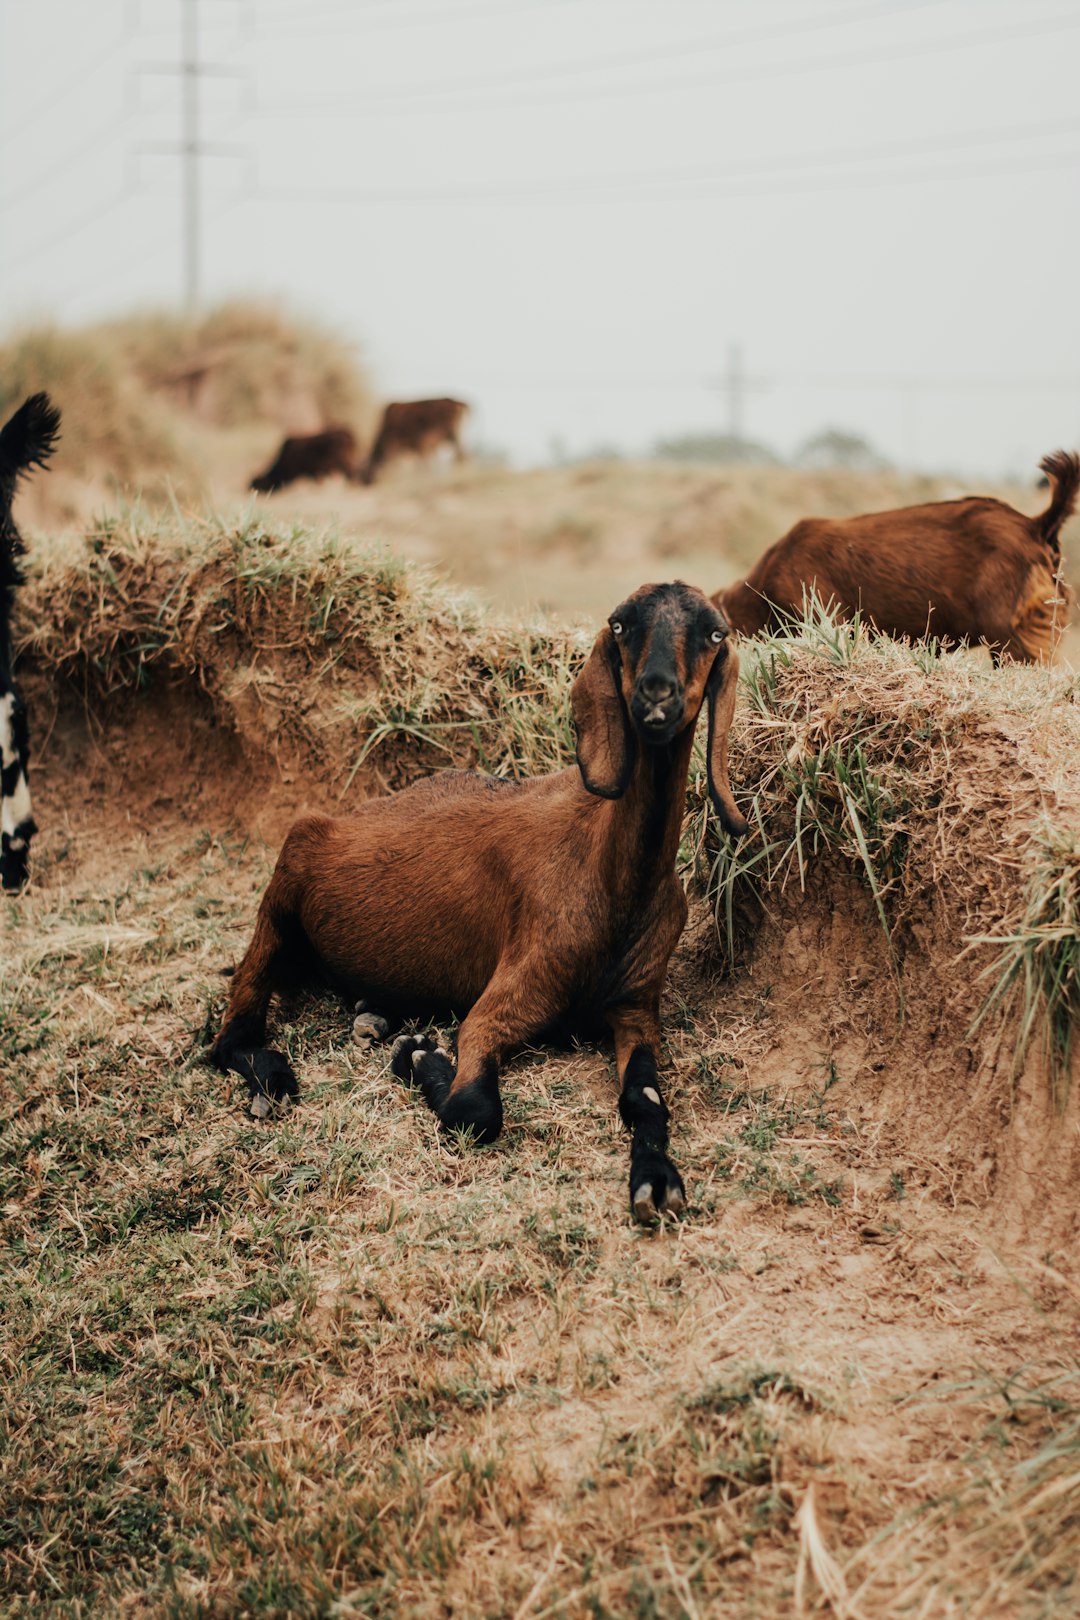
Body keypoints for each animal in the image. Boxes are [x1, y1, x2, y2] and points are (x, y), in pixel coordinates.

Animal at [215, 579, 748, 1218]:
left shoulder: (637, 1007)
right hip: (284, 883)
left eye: (714, 632)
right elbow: (473, 1112)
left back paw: (373, 1014)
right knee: (231, 1032)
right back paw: (273, 1075)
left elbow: (644, 1099)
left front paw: (655, 1176)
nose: (656, 692)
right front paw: (421, 1059)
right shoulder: (502, 1002)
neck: (615, 882)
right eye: (621, 624)